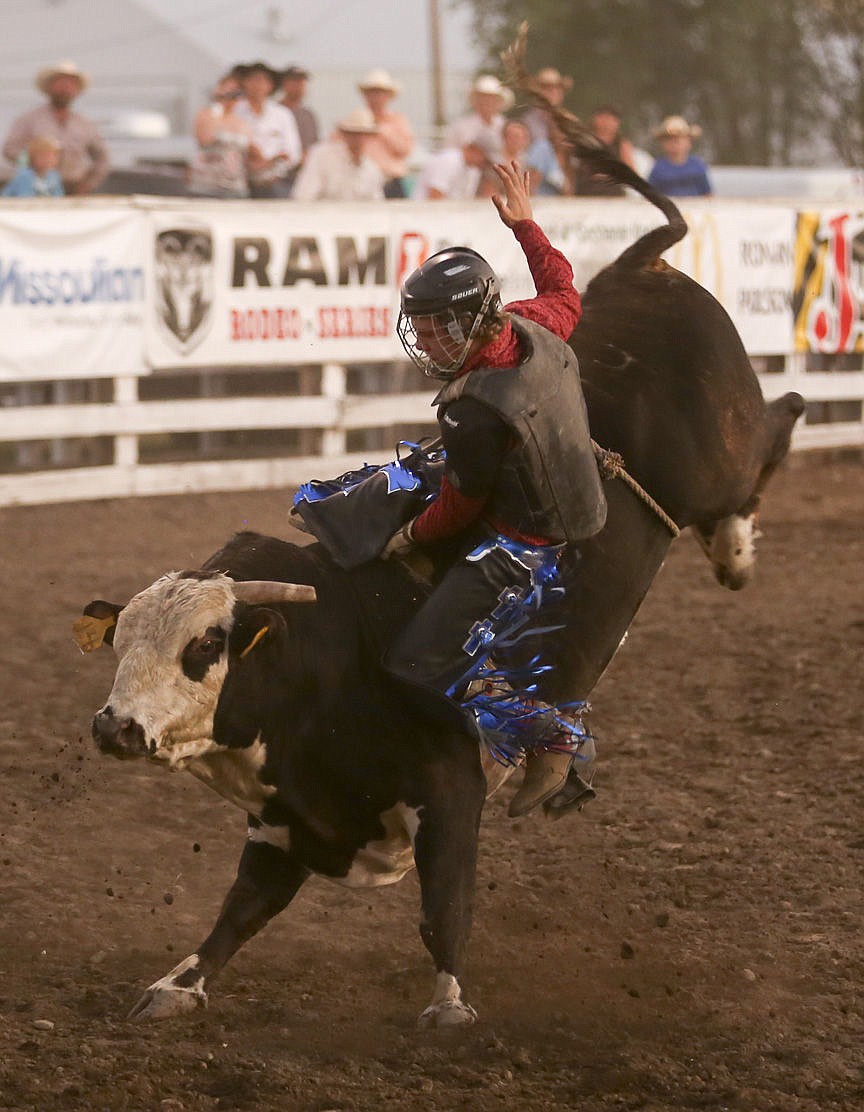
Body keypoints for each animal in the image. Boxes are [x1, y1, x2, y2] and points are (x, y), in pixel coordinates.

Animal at [78, 161, 800, 1027]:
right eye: (121, 644)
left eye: (206, 646)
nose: (113, 726)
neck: (332, 653)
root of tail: (641, 267)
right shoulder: (285, 826)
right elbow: (240, 913)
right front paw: (176, 985)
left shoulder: (451, 794)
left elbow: (443, 907)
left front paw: (449, 1006)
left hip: (720, 453)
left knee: (771, 434)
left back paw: (739, 548)